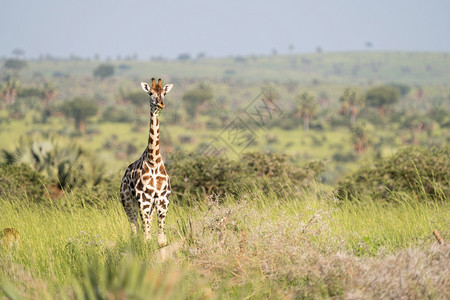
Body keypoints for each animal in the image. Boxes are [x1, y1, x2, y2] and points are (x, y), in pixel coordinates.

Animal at [120, 78, 173, 247]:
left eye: (164, 93)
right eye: (150, 93)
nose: (161, 104)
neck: (153, 160)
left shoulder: (163, 200)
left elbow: (161, 239)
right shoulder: (143, 200)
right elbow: (147, 237)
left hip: (149, 206)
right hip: (128, 203)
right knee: (135, 228)